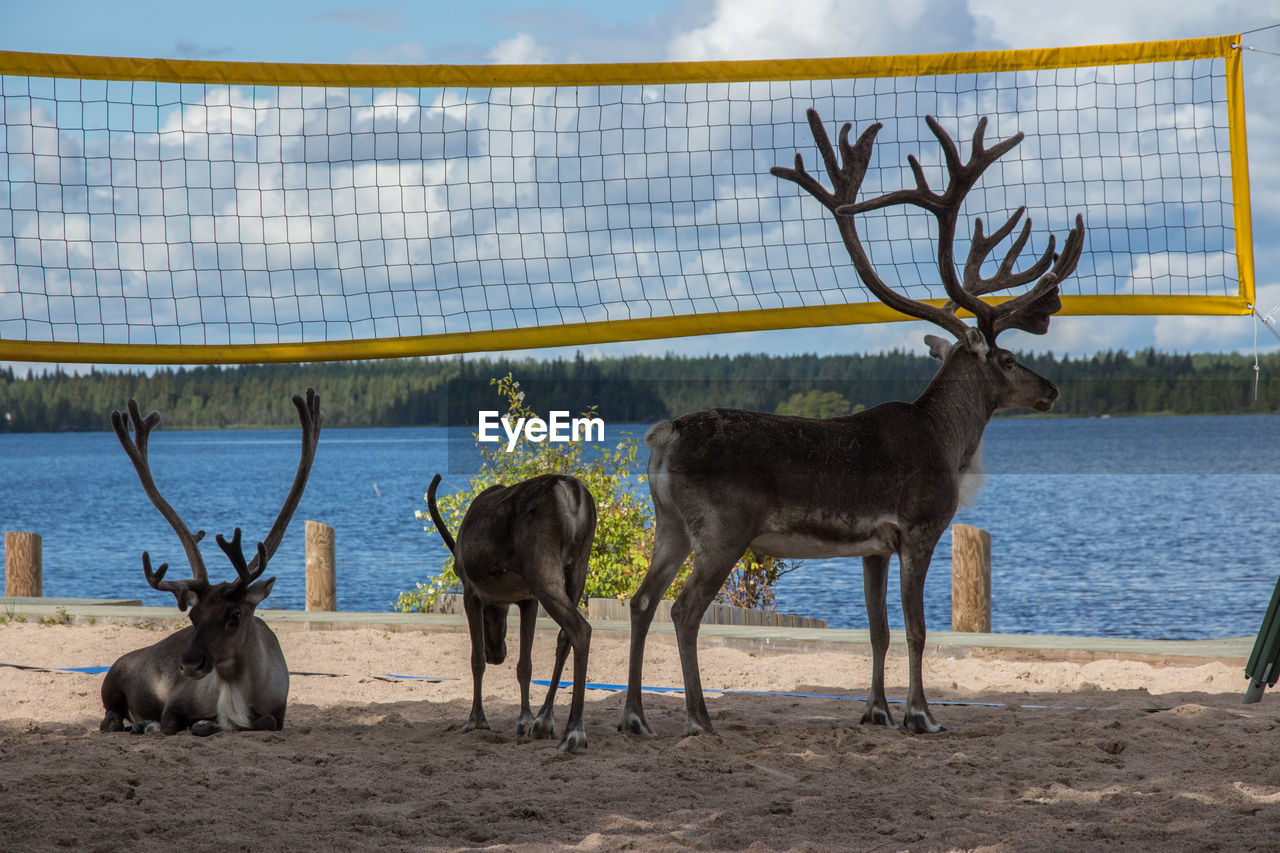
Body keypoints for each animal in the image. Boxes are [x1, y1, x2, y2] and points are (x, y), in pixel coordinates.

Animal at [99, 389, 323, 736]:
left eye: (234, 615)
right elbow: (176, 724)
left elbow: (261, 722)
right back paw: (134, 724)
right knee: (110, 716)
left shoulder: (278, 712)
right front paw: (170, 724)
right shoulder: (176, 701)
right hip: (112, 678)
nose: (189, 663)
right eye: (193, 616)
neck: (235, 692)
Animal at [425, 472, 596, 753]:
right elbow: (525, 665)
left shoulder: (471, 592)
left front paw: (476, 720)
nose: (497, 654)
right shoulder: (528, 599)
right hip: (578, 569)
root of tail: (570, 491)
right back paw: (544, 720)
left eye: (489, 613)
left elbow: (476, 660)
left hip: (543, 572)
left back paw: (574, 732)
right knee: (564, 636)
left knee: (580, 628)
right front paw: (525, 720)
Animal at [616, 109, 1084, 738]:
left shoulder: (874, 547)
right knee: (683, 608)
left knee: (641, 601)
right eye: (1008, 360)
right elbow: (917, 631)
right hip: (722, 528)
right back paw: (698, 717)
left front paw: (875, 710)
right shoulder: (919, 528)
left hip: (668, 522)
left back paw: (635, 717)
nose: (1051, 390)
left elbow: (878, 631)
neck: (948, 443)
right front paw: (921, 715)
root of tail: (663, 436)